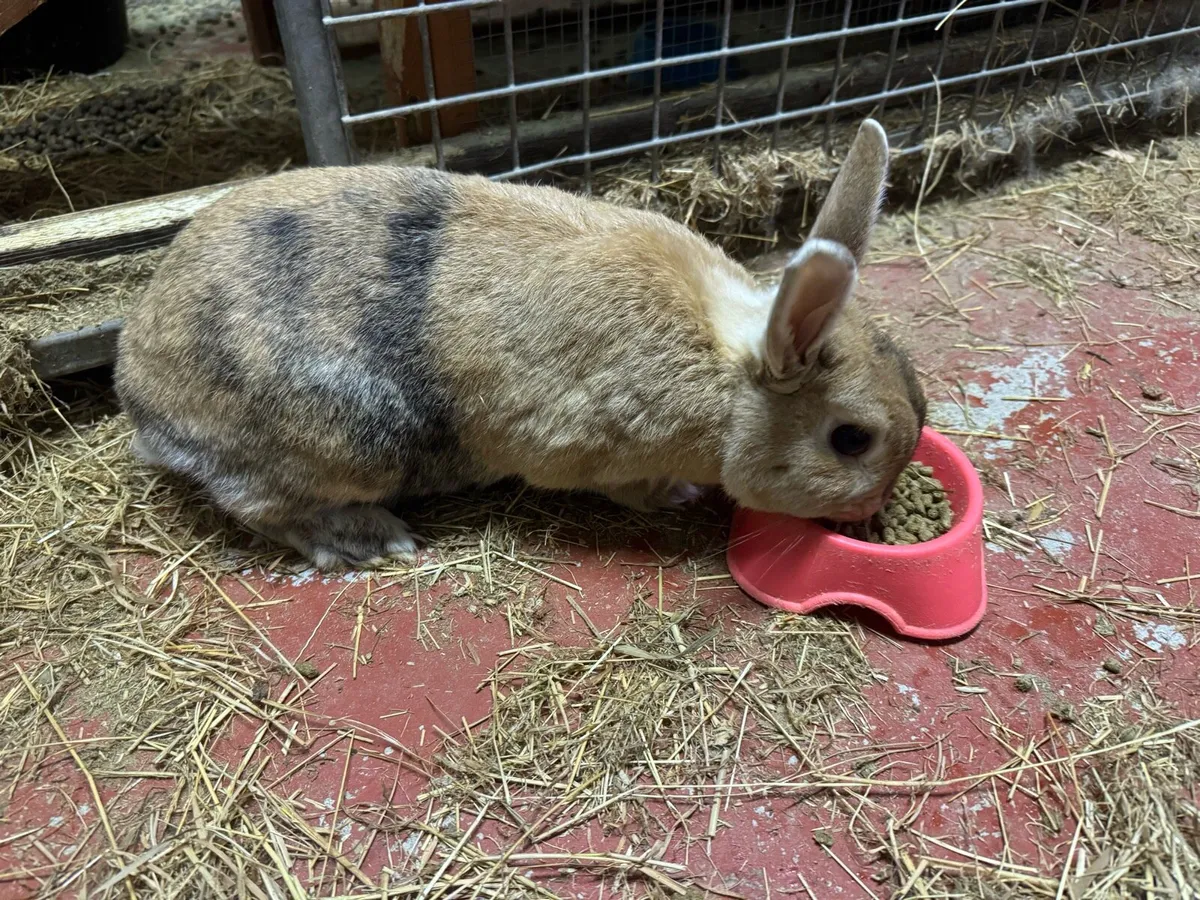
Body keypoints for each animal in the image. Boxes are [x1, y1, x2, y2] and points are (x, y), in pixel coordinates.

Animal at [114, 118, 926, 571]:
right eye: (850, 439)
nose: (873, 510)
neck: (726, 374)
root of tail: (140, 398)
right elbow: (631, 487)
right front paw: (678, 494)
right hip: (351, 441)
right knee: (260, 505)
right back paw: (366, 541)